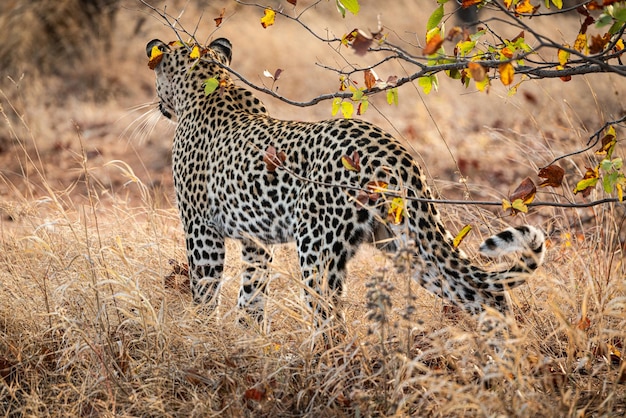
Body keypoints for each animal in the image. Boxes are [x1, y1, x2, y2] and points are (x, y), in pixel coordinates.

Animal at [145, 36, 540, 324]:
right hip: (407, 241)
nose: (159, 105)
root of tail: (394, 151)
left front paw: (201, 335)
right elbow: (252, 295)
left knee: (330, 319)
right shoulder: (256, 239)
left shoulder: (200, 227)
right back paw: (504, 363)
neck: (213, 84)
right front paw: (246, 339)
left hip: (318, 245)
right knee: (484, 292)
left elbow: (205, 289)